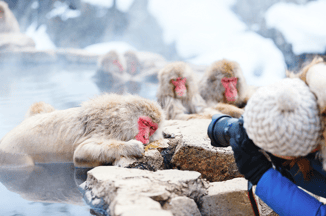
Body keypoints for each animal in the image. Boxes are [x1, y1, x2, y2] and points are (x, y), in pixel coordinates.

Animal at [0, 93, 164, 168]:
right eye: (144, 122)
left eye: (152, 128)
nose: (146, 136)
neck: (119, 117)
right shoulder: (109, 129)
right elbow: (81, 152)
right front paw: (131, 146)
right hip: (14, 156)